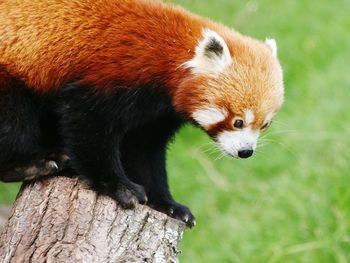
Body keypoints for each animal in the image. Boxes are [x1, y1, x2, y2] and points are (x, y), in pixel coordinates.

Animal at [0, 0, 284, 227]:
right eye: (238, 121)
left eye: (264, 125)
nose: (245, 152)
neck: (173, 56)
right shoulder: (117, 75)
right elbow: (88, 126)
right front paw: (120, 188)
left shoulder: (158, 115)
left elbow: (144, 153)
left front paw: (168, 205)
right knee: (14, 121)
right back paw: (33, 164)